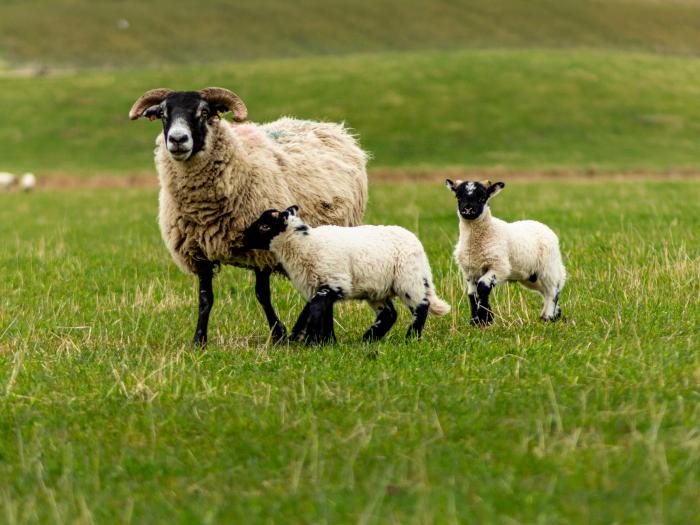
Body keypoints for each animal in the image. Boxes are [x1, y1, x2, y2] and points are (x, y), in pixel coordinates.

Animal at [129, 86, 370, 344]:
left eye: (204, 112)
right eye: (163, 114)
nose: (177, 139)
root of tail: (334, 128)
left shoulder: (263, 248)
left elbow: (262, 294)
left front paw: (278, 334)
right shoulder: (198, 252)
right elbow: (205, 299)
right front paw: (199, 341)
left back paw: (320, 336)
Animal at [239, 205, 448, 344]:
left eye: (264, 226)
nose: (241, 239)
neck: (304, 245)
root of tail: (417, 245)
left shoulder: (335, 281)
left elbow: (315, 307)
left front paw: (304, 337)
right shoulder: (317, 285)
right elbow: (322, 311)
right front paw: (325, 341)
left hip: (408, 279)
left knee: (421, 306)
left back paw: (411, 338)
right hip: (377, 287)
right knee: (389, 313)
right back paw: (368, 338)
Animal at [446, 179, 568, 324]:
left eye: (482, 198)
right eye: (458, 197)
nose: (468, 209)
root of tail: (546, 228)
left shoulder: (499, 267)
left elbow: (483, 287)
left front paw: (485, 318)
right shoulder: (470, 271)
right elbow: (472, 294)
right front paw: (476, 321)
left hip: (547, 267)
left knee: (552, 290)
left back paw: (548, 317)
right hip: (531, 276)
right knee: (546, 291)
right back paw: (556, 314)